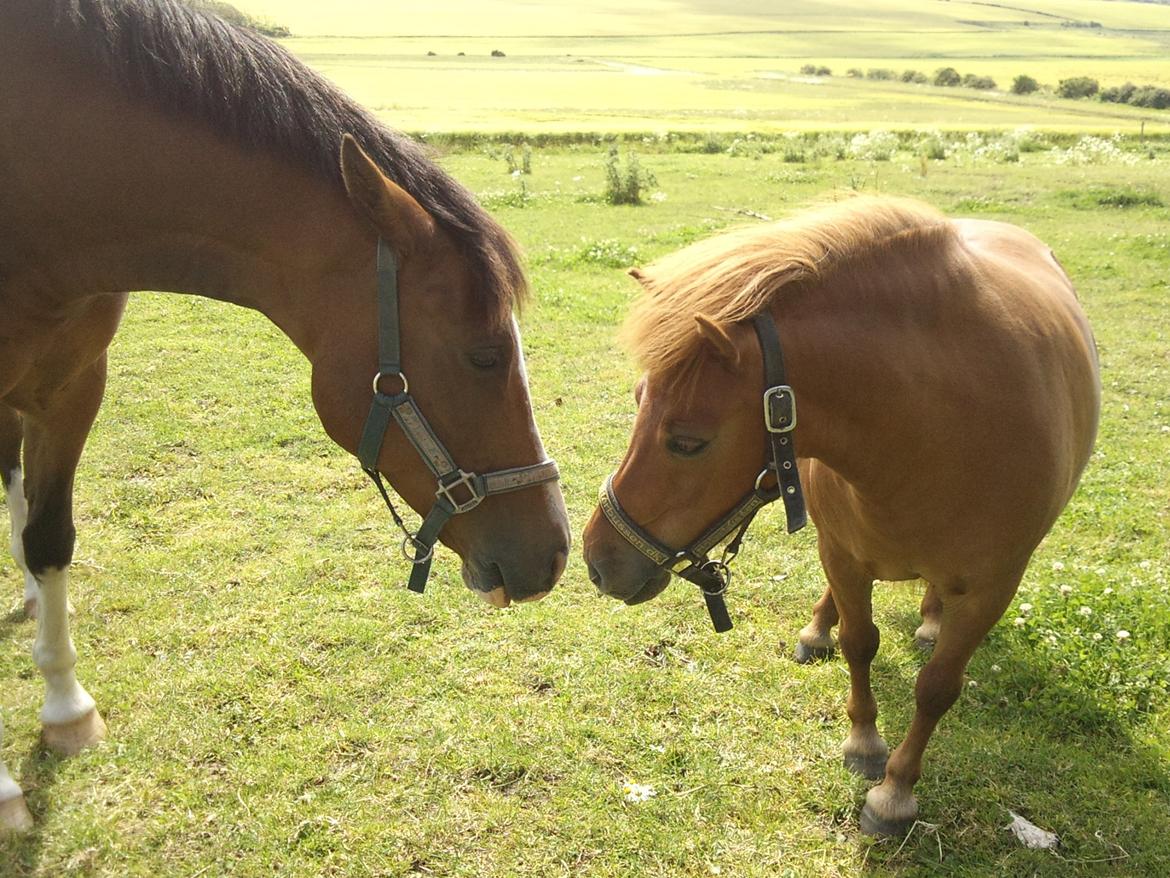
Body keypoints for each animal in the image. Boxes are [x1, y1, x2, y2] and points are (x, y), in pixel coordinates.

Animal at [585, 195, 1104, 833]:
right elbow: (860, 643)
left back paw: (930, 620)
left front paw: (894, 792)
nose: (597, 560)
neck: (936, 428)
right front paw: (863, 743)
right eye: (637, 399)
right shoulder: (841, 553)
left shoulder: (993, 587)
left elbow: (937, 688)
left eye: (686, 442)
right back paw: (819, 630)